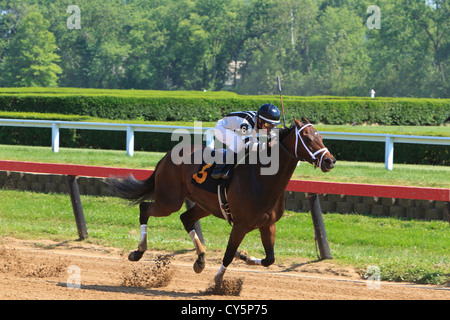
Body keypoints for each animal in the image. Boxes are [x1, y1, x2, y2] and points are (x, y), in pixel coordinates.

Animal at [110, 118, 334, 284]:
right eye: (307, 138)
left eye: (321, 137)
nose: (330, 161)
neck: (263, 180)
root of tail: (167, 156)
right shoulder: (241, 225)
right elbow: (228, 253)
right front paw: (218, 281)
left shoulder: (267, 224)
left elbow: (269, 259)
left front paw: (244, 256)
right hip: (169, 200)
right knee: (145, 208)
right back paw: (138, 252)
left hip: (204, 205)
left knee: (185, 218)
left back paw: (200, 259)